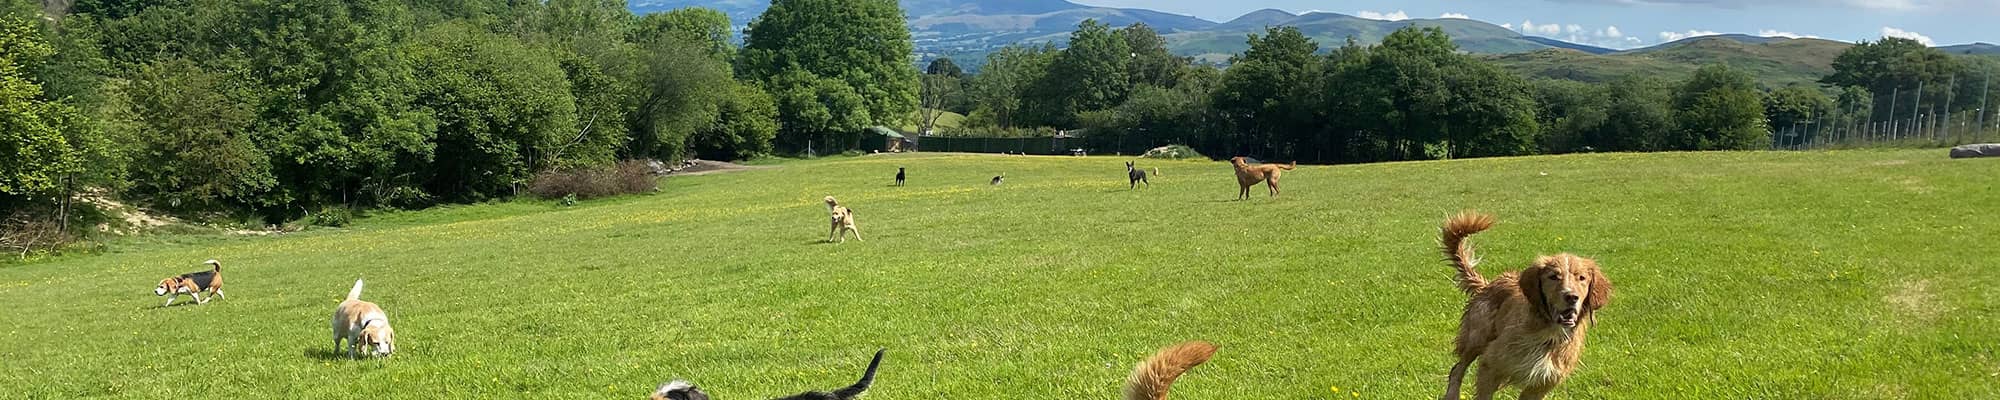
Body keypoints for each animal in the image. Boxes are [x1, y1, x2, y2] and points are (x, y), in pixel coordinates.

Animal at [1440, 211, 1608, 398]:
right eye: (1553, 277)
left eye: (1581, 278)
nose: (1572, 297)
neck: (1549, 334)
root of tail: (1488, 284)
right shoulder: (1490, 364)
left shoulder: (1542, 383)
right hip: (1476, 338)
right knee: (1457, 369)